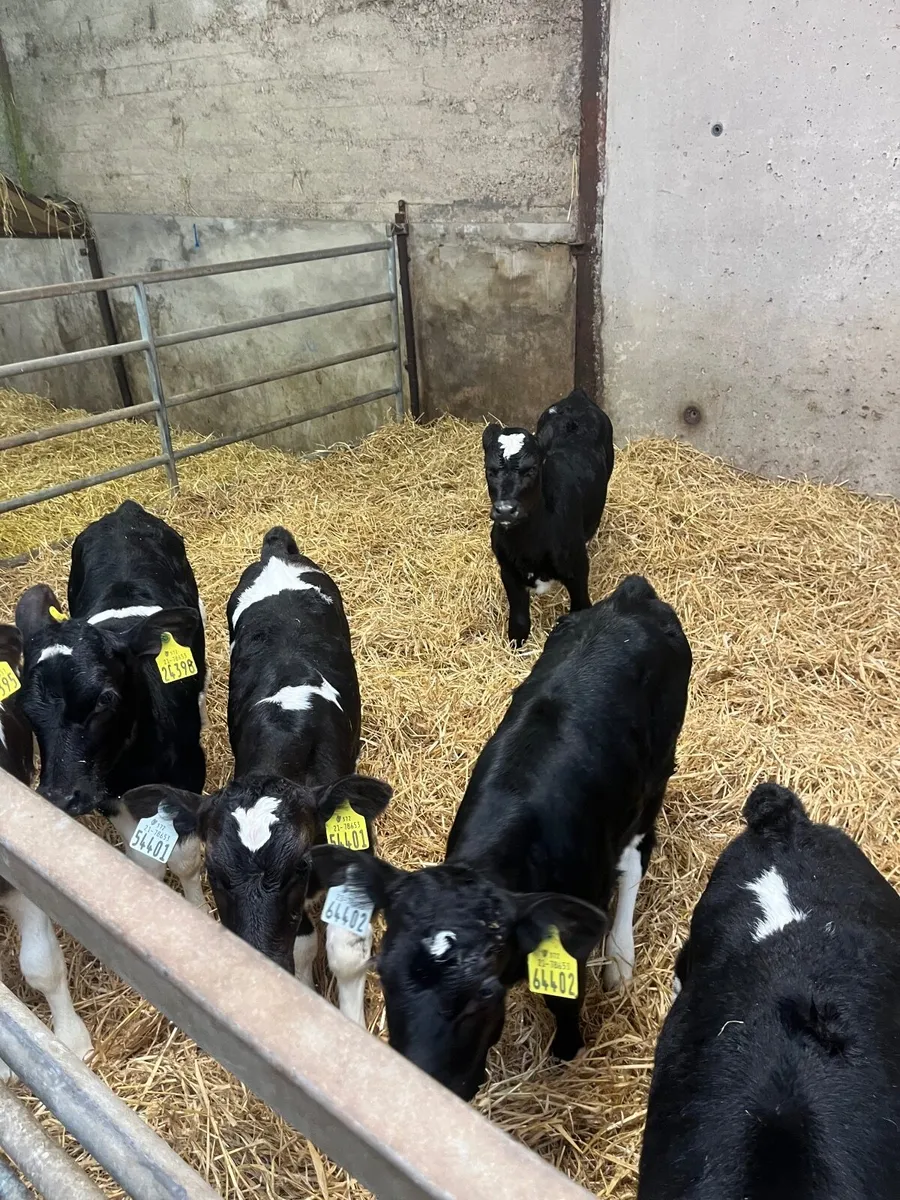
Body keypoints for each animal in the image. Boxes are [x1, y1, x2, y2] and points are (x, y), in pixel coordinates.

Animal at [15, 500, 207, 905]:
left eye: (105, 698)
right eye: (26, 707)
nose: (59, 796)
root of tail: (125, 511)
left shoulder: (188, 777)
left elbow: (184, 861)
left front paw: (197, 907)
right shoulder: (108, 794)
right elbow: (144, 863)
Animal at [313, 575, 692, 1097]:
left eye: (485, 993)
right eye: (381, 973)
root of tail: (629, 597)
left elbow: (565, 1001)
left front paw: (567, 1050)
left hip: (655, 777)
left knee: (636, 859)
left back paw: (620, 955)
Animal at [482, 388, 614, 647]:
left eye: (532, 469)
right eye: (490, 470)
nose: (505, 510)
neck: (528, 546)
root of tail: (576, 397)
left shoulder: (577, 569)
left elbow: (581, 609)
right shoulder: (508, 571)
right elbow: (519, 621)